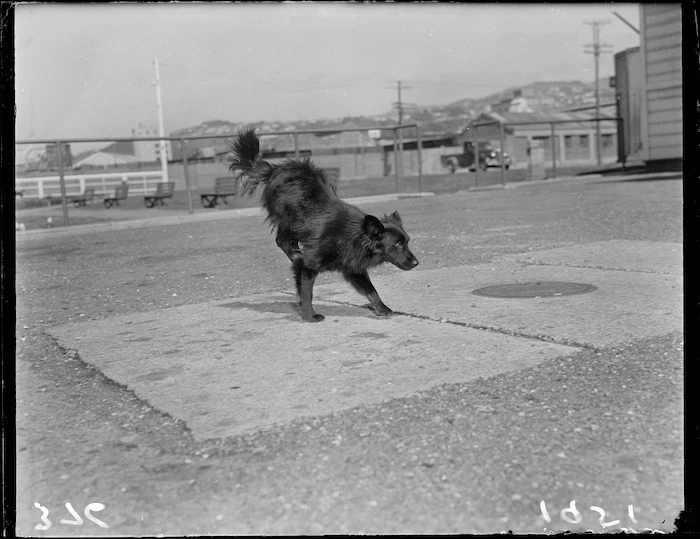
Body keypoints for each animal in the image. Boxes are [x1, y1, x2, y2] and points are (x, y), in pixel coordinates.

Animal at [230, 127, 418, 320]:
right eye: (398, 244)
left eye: (407, 242)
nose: (416, 263)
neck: (355, 235)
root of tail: (275, 168)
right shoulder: (309, 264)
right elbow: (306, 290)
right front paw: (309, 315)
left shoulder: (353, 267)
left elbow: (371, 290)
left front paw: (382, 308)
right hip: (289, 219)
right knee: (281, 241)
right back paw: (295, 254)